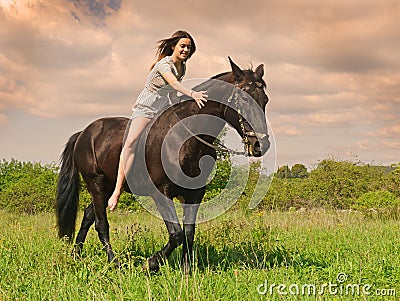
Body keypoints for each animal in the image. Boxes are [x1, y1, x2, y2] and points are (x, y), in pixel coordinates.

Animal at [55, 56, 268, 272]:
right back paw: (115, 263)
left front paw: (186, 269)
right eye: (244, 99)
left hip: (107, 186)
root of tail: (83, 134)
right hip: (96, 183)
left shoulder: (195, 193)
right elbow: (176, 234)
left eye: (265, 100)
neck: (186, 137)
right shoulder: (161, 193)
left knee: (88, 216)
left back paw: (76, 256)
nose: (260, 145)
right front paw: (150, 263)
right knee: (101, 224)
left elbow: (188, 231)